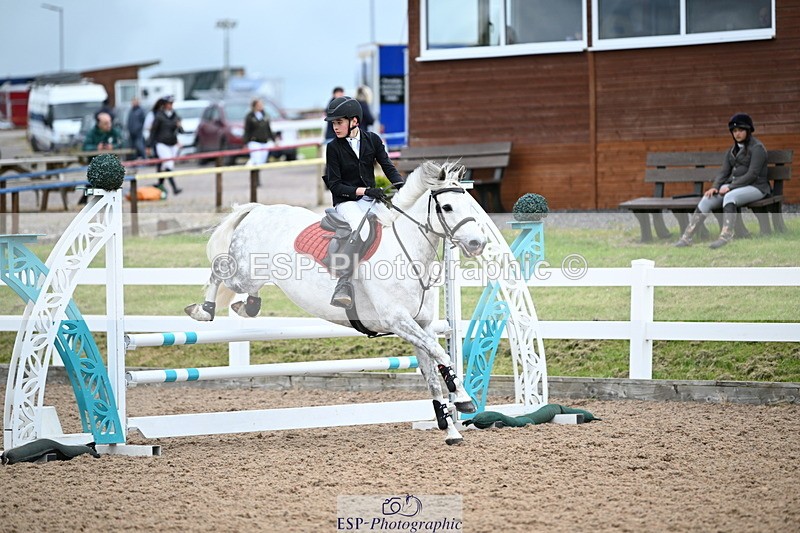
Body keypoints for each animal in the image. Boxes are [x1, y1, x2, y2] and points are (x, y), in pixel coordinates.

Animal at [185, 161, 488, 444]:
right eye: (446, 207)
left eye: (469, 203)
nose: (478, 243)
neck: (408, 254)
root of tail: (258, 210)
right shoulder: (398, 321)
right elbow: (442, 355)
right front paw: (463, 399)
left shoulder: (420, 325)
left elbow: (433, 372)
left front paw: (450, 428)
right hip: (243, 274)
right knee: (219, 269)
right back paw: (203, 310)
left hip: (255, 276)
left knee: (247, 290)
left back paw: (246, 307)